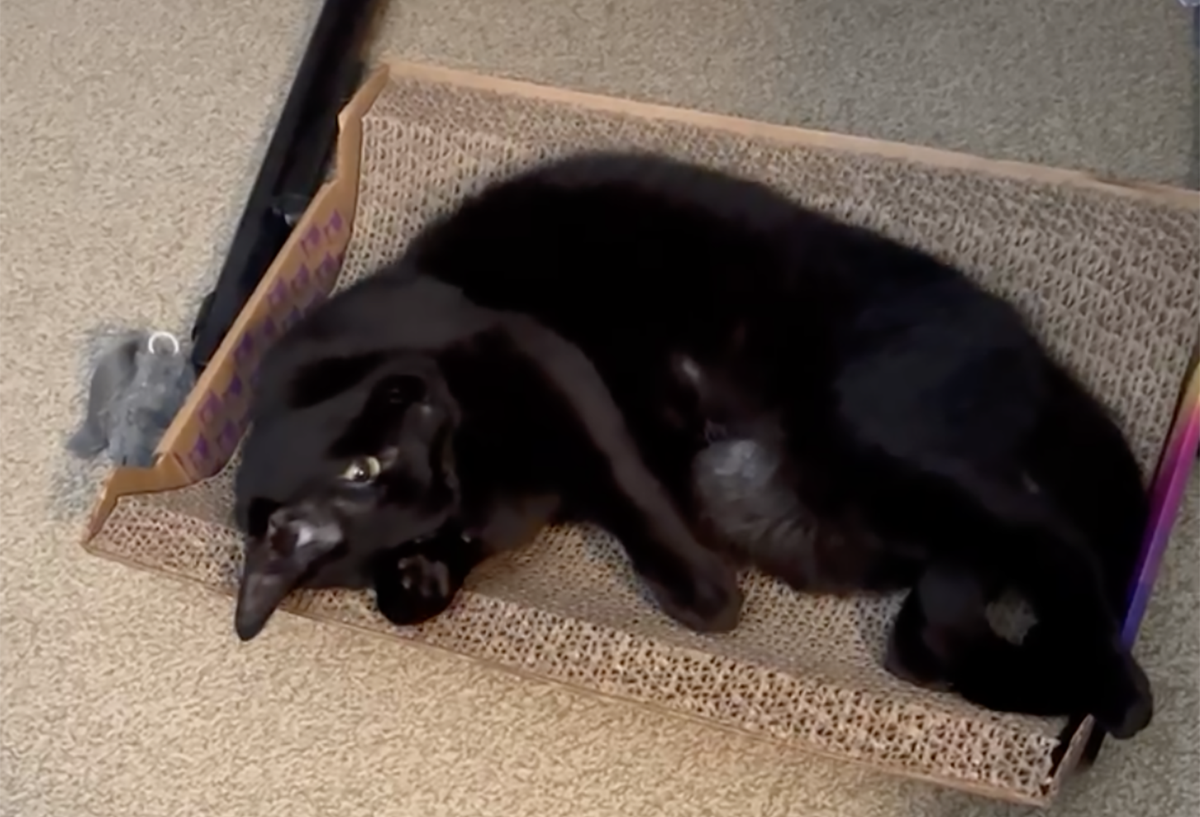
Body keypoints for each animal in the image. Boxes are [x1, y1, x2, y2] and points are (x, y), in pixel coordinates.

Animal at [384, 149, 1152, 734]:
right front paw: (416, 583)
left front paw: (702, 597)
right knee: (944, 621)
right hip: (873, 511)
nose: (459, 511)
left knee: (1049, 539)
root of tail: (1037, 353)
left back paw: (1124, 694)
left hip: (873, 439)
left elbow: (629, 497)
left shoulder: (553, 382)